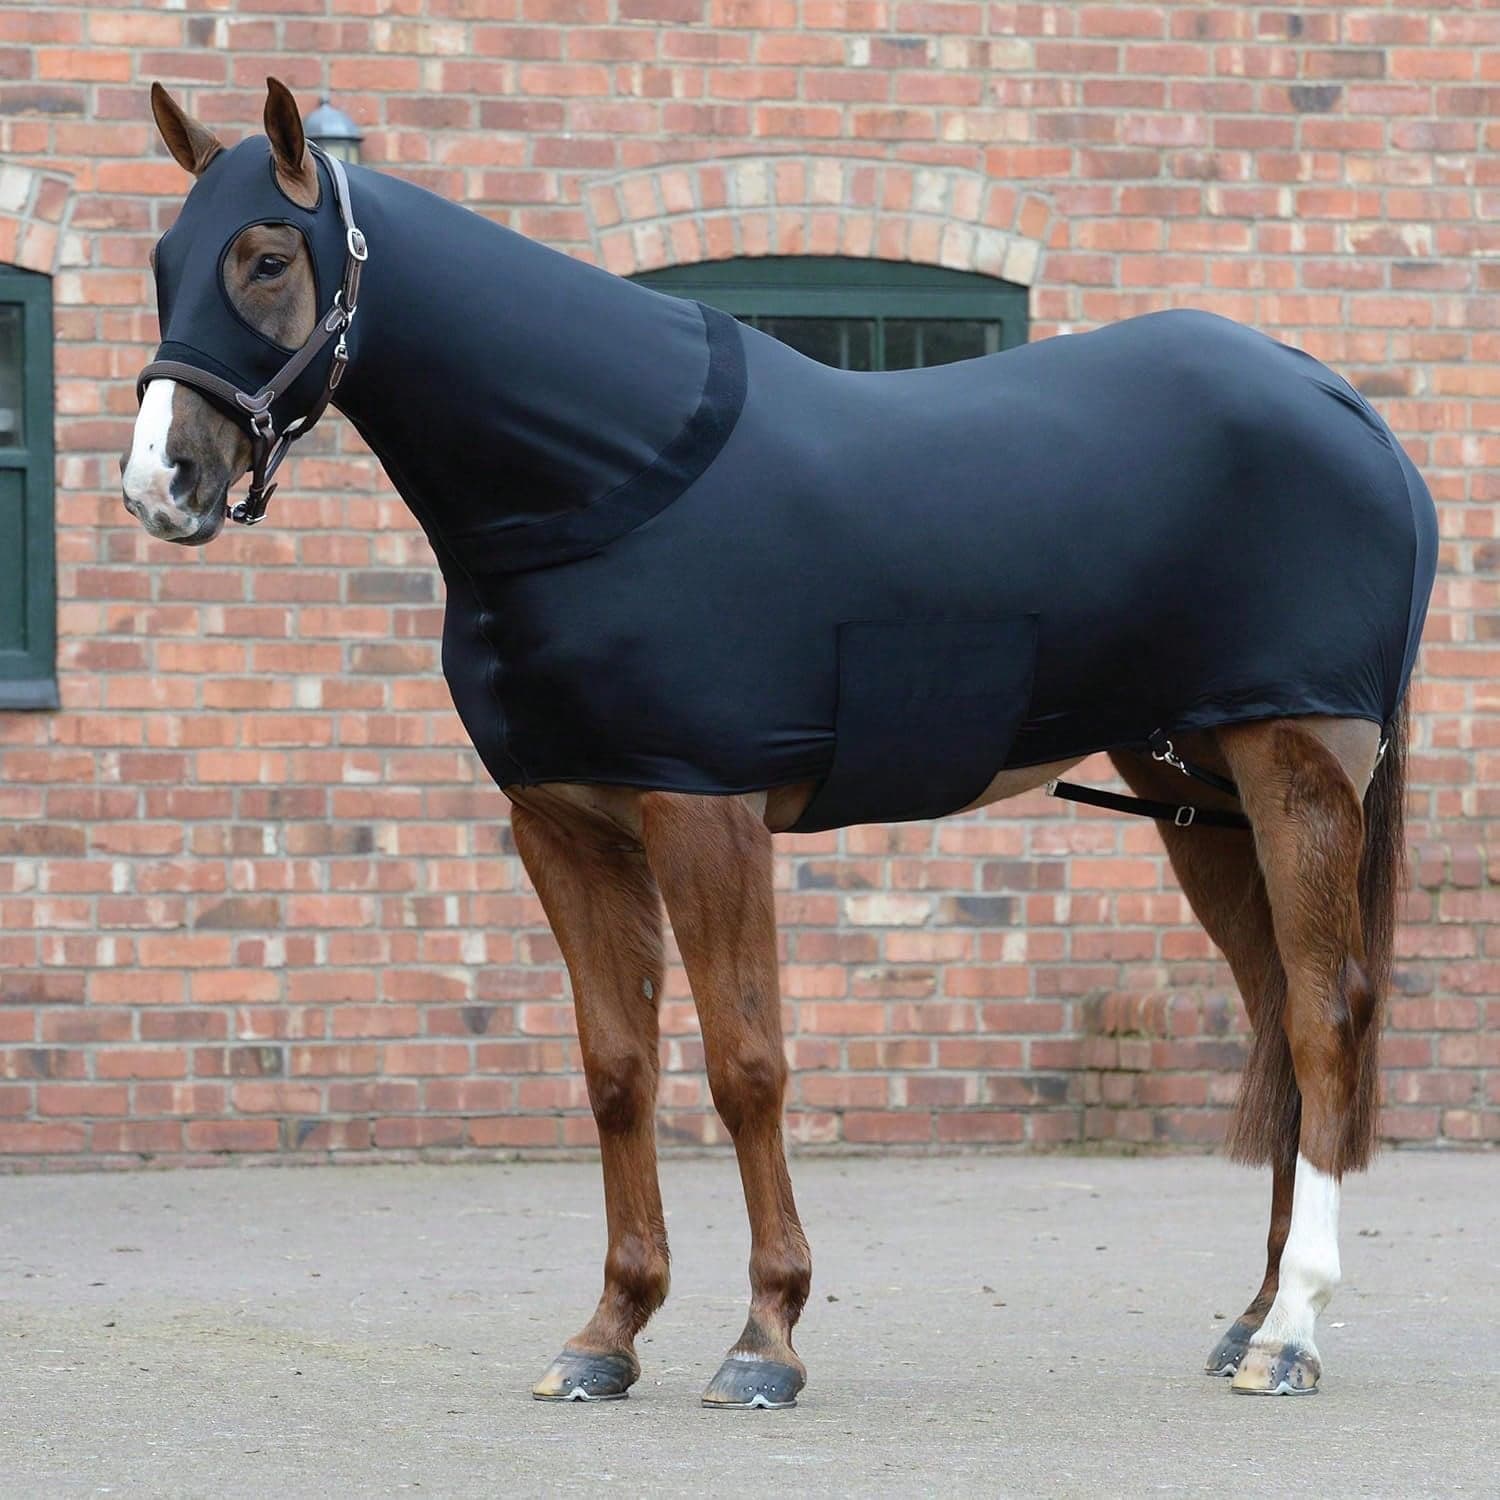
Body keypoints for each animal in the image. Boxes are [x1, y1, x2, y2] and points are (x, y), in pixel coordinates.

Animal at [123, 80, 1437, 1408]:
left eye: (268, 258)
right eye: (165, 261)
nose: (161, 483)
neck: (610, 483)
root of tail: (1342, 405)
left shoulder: (707, 810)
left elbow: (745, 1064)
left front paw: (764, 1338)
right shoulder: (562, 825)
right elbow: (618, 1071)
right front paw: (607, 1335)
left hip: (1295, 769)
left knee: (1325, 1018)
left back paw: (1294, 1333)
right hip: (1195, 791)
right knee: (1277, 1021)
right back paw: (1250, 1319)